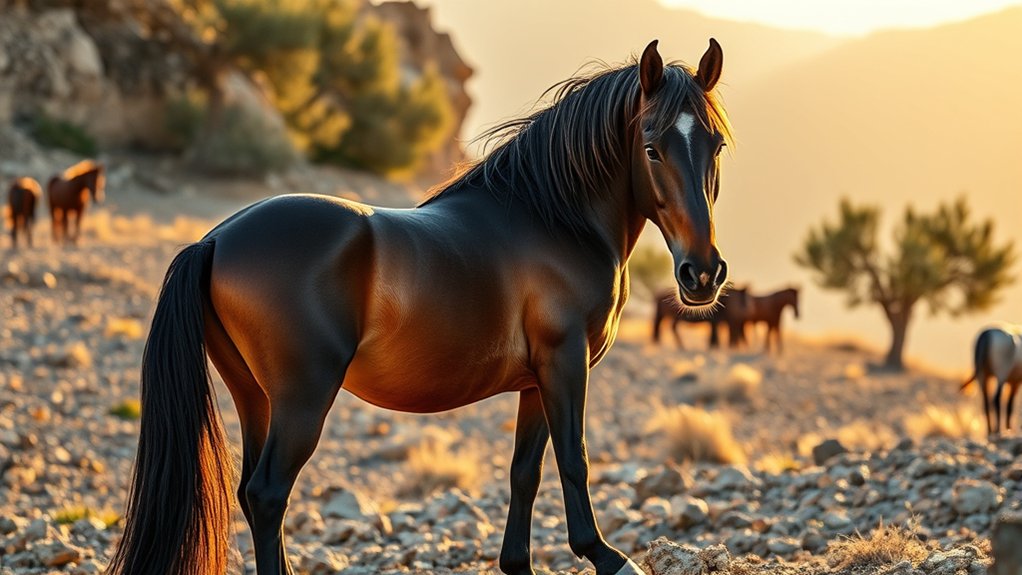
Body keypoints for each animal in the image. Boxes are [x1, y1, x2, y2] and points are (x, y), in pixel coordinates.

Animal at [108, 39, 733, 575]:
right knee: (266, 495)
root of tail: (215, 240)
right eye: (651, 147)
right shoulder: (564, 363)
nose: (702, 274)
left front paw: (517, 562)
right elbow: (573, 460)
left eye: (716, 146)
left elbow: (525, 472)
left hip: (255, 396)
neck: (555, 220)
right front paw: (606, 555)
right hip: (301, 397)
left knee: (251, 492)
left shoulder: (536, 381)